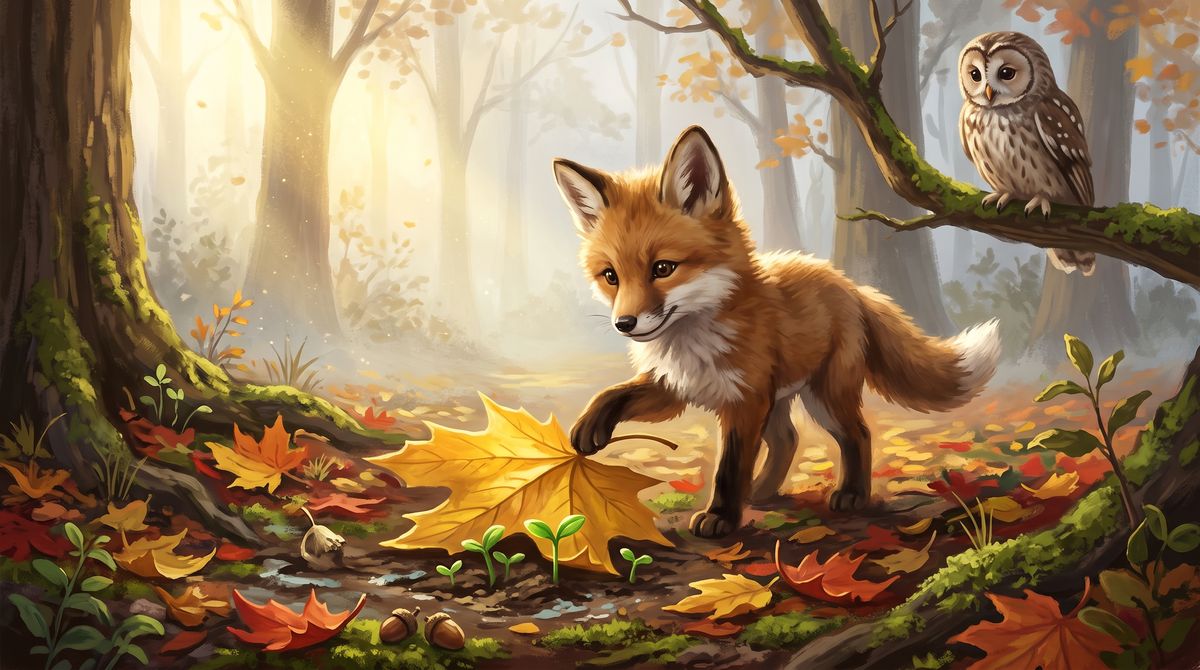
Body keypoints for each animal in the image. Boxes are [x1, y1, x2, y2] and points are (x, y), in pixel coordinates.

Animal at [552, 126, 1001, 538]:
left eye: (663, 268)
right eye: (611, 276)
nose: (624, 323)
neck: (693, 340)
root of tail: (848, 285)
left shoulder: (744, 400)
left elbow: (730, 466)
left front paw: (720, 515)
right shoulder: (676, 386)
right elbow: (616, 394)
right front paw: (590, 425)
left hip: (823, 396)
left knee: (858, 434)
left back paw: (851, 494)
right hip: (779, 401)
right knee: (788, 439)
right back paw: (762, 490)